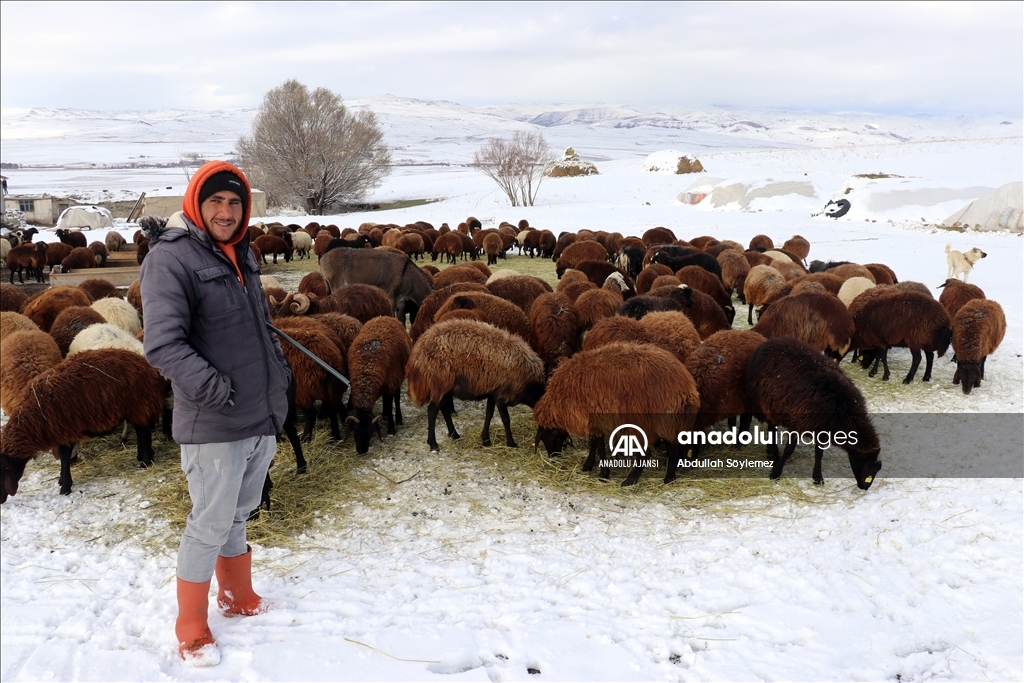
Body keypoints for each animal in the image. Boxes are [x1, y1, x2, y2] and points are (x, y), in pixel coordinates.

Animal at [0, 349, 165, 500]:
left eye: (4, 468)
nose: (1, 500)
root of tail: (146, 364)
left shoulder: (67, 430)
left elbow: (65, 457)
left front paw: (65, 486)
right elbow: (63, 457)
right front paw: (62, 480)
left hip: (138, 404)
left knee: (143, 431)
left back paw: (146, 461)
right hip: (134, 407)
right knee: (140, 430)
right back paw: (143, 456)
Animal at [346, 316, 412, 454]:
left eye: (371, 433)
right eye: (355, 432)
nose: (362, 451)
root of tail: (385, 317)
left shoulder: (390, 384)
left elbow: (390, 406)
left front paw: (391, 429)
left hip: (396, 379)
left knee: (396, 398)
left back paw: (398, 418)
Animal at [407, 318, 547, 451]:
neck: (530, 388)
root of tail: (418, 352)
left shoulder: (493, 391)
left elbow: (489, 414)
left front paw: (486, 439)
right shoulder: (501, 394)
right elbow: (506, 419)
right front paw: (511, 443)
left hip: (446, 388)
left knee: (444, 409)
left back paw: (454, 434)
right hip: (440, 383)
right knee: (432, 411)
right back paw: (433, 444)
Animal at [533, 342, 700, 485]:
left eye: (548, 437)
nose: (554, 457)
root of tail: (686, 388)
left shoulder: (597, 417)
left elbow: (599, 446)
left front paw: (603, 474)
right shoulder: (595, 419)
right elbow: (594, 444)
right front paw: (588, 464)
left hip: (647, 421)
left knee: (647, 454)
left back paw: (633, 480)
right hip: (667, 422)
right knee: (673, 449)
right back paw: (668, 478)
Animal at [745, 336, 881, 488]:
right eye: (868, 463)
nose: (865, 487)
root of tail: (770, 341)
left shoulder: (822, 428)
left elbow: (819, 453)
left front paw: (817, 477)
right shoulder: (798, 422)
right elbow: (789, 450)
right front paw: (775, 473)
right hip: (761, 401)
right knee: (769, 426)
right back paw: (772, 452)